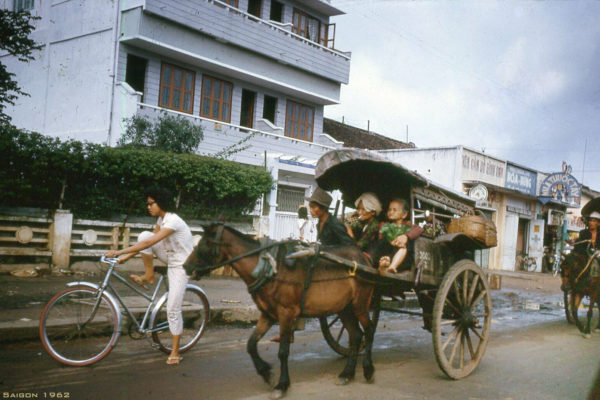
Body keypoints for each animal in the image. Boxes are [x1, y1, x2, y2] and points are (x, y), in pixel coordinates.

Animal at [185, 223, 378, 398]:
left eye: (204, 244)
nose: (186, 267)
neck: (269, 267)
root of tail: (364, 258)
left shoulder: (286, 313)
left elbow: (283, 351)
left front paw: (282, 384)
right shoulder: (268, 314)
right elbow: (251, 344)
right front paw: (265, 373)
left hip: (360, 305)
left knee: (368, 330)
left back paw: (368, 369)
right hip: (344, 309)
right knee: (356, 335)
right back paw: (347, 374)